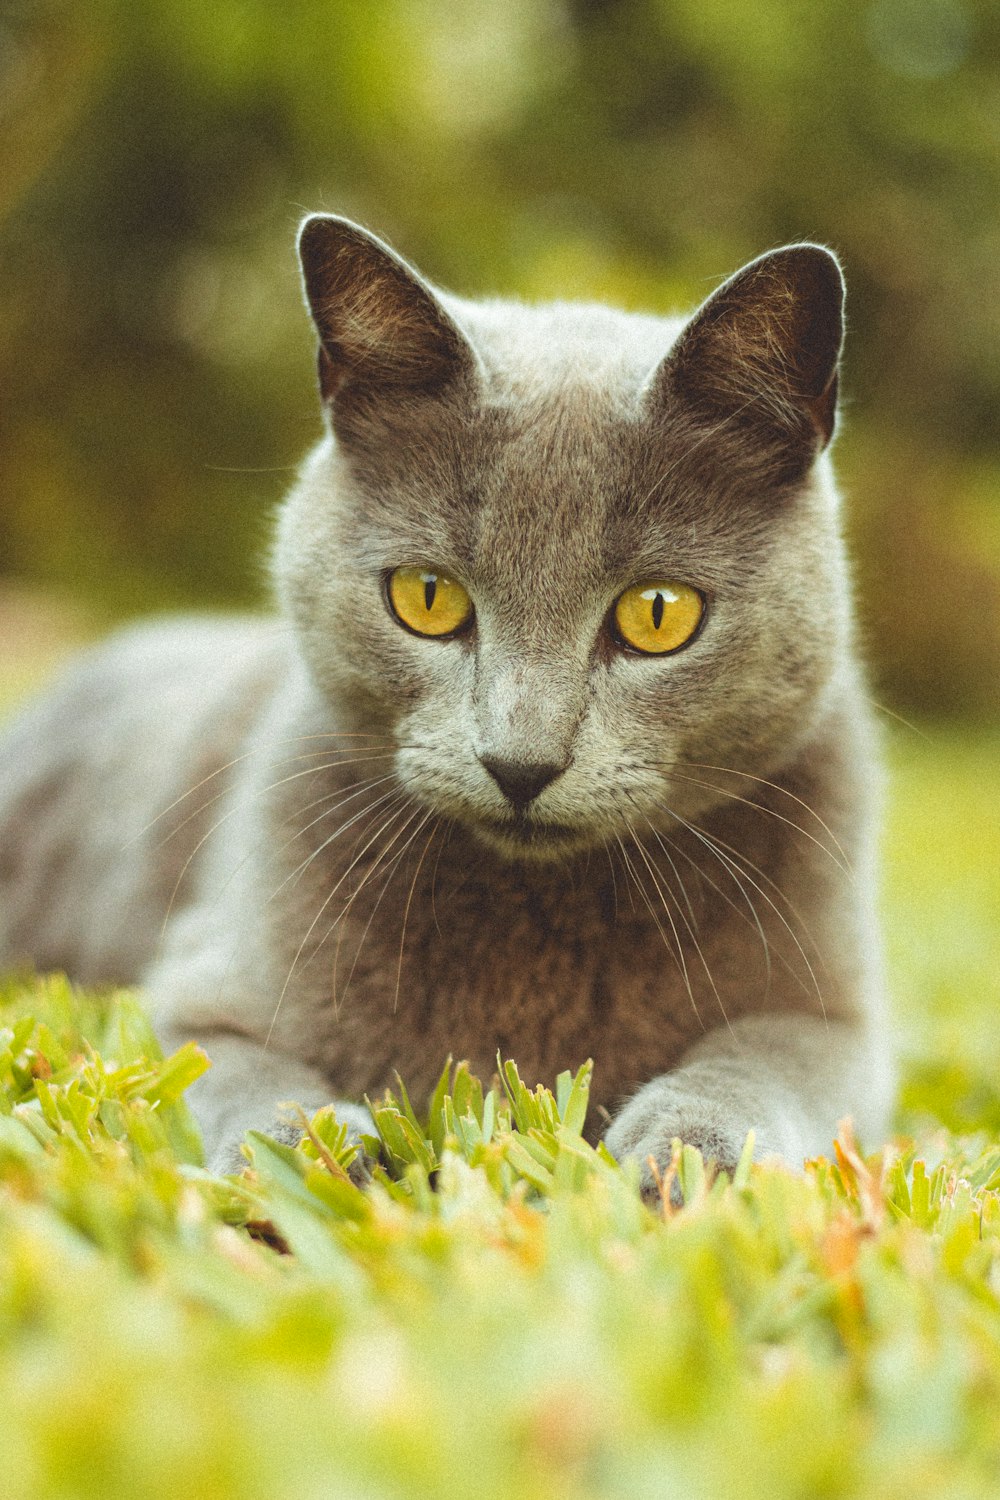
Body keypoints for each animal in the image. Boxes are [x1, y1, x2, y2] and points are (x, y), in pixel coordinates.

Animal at [0, 217, 893, 1188]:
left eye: (659, 613)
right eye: (427, 597)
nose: (521, 762)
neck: (540, 916)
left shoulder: (837, 1018)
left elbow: (757, 1067)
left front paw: (685, 1155)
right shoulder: (201, 993)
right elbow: (236, 1074)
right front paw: (311, 1150)